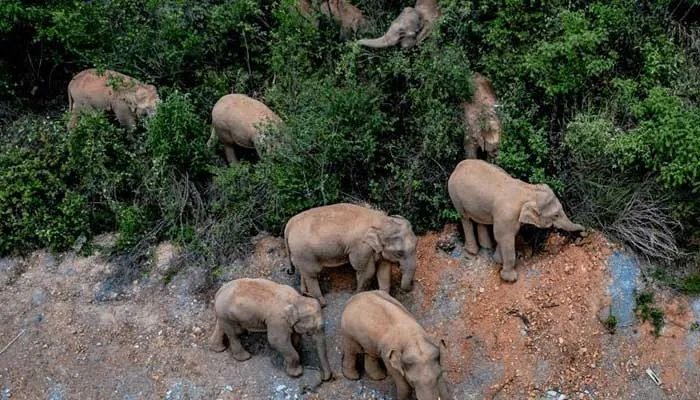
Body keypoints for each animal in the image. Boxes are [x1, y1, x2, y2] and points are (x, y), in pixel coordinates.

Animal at [284, 203, 418, 307]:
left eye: (416, 245)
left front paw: (384, 296)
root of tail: (288, 225)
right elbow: (367, 272)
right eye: (400, 253)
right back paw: (322, 303)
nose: (413, 284)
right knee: (312, 274)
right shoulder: (361, 248)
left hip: (299, 253)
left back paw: (306, 294)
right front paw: (357, 295)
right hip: (304, 252)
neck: (381, 221)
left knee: (304, 271)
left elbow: (384, 271)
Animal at [448, 160, 585, 282]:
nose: (583, 233)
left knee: (480, 220)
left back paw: (486, 246)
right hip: (455, 195)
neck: (528, 190)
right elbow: (504, 237)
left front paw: (498, 260)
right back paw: (472, 251)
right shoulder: (507, 215)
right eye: (555, 215)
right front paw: (510, 278)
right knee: (465, 218)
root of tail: (458, 166)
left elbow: (504, 237)